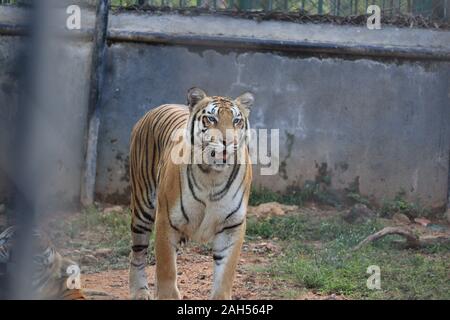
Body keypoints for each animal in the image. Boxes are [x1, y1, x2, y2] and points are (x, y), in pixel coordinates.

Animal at [128, 87, 255, 300]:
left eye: (237, 121)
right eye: (211, 119)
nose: (229, 142)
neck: (212, 176)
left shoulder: (232, 225)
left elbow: (224, 276)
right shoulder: (166, 221)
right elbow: (166, 270)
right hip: (143, 207)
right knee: (137, 252)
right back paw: (139, 291)